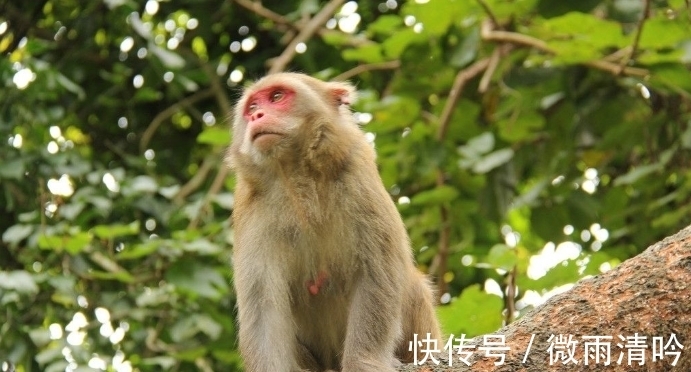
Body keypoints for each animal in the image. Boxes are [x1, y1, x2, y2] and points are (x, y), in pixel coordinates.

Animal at [227, 72, 444, 372]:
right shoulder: (252, 208)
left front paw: (363, 361)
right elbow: (263, 307)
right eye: (252, 107)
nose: (257, 115)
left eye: (277, 97)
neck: (297, 173)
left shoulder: (357, 177)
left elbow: (375, 274)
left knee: (413, 287)